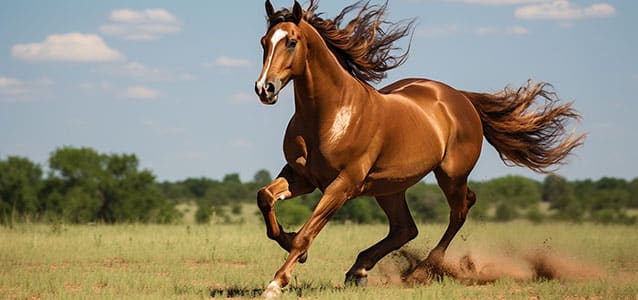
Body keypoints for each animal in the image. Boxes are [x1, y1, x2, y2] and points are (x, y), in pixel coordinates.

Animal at [252, 0, 584, 298]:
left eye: (291, 42)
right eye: (264, 42)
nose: (264, 89)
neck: (331, 113)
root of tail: (460, 98)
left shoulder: (343, 184)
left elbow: (307, 233)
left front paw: (276, 283)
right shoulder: (301, 177)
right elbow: (266, 199)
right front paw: (291, 244)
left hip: (450, 176)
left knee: (459, 211)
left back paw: (421, 272)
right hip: (389, 188)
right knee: (406, 228)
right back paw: (359, 270)